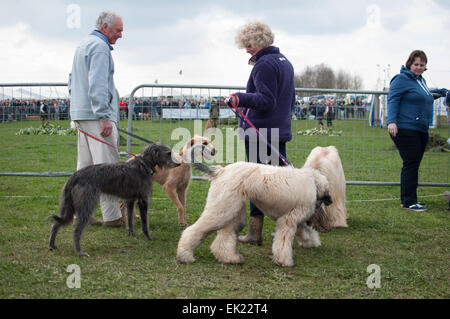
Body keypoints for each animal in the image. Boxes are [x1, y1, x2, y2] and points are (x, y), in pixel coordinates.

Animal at [49, 142, 181, 258]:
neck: (144, 165)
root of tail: (74, 176)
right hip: (87, 205)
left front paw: (131, 234)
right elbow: (145, 222)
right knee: (76, 231)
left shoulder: (130, 200)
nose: (179, 164)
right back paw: (80, 252)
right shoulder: (143, 200)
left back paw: (52, 245)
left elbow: (130, 219)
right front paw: (148, 237)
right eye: (168, 153)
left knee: (56, 224)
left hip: (69, 206)